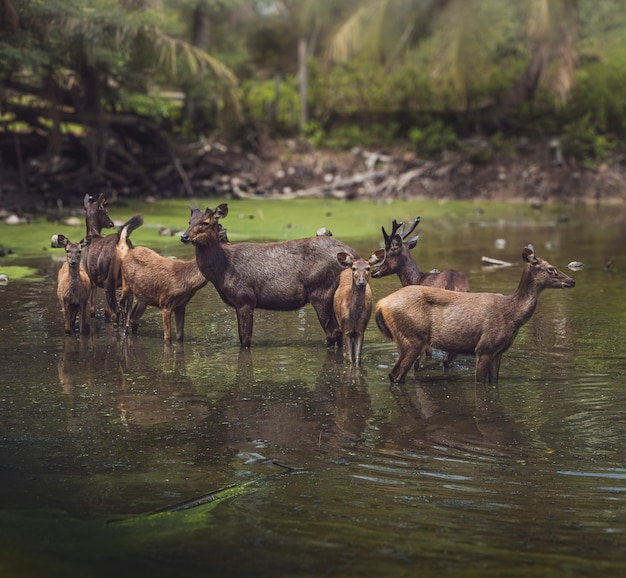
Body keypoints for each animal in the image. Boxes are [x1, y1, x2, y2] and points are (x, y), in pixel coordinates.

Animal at [179, 202, 360, 346]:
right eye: (189, 221)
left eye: (205, 222)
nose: (184, 236)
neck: (222, 270)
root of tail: (354, 253)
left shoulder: (245, 298)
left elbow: (245, 340)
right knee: (340, 332)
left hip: (321, 291)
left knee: (333, 331)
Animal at [372, 243, 572, 382]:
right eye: (551, 268)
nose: (571, 281)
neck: (513, 315)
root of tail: (381, 304)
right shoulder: (484, 348)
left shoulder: (498, 352)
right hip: (412, 338)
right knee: (395, 375)